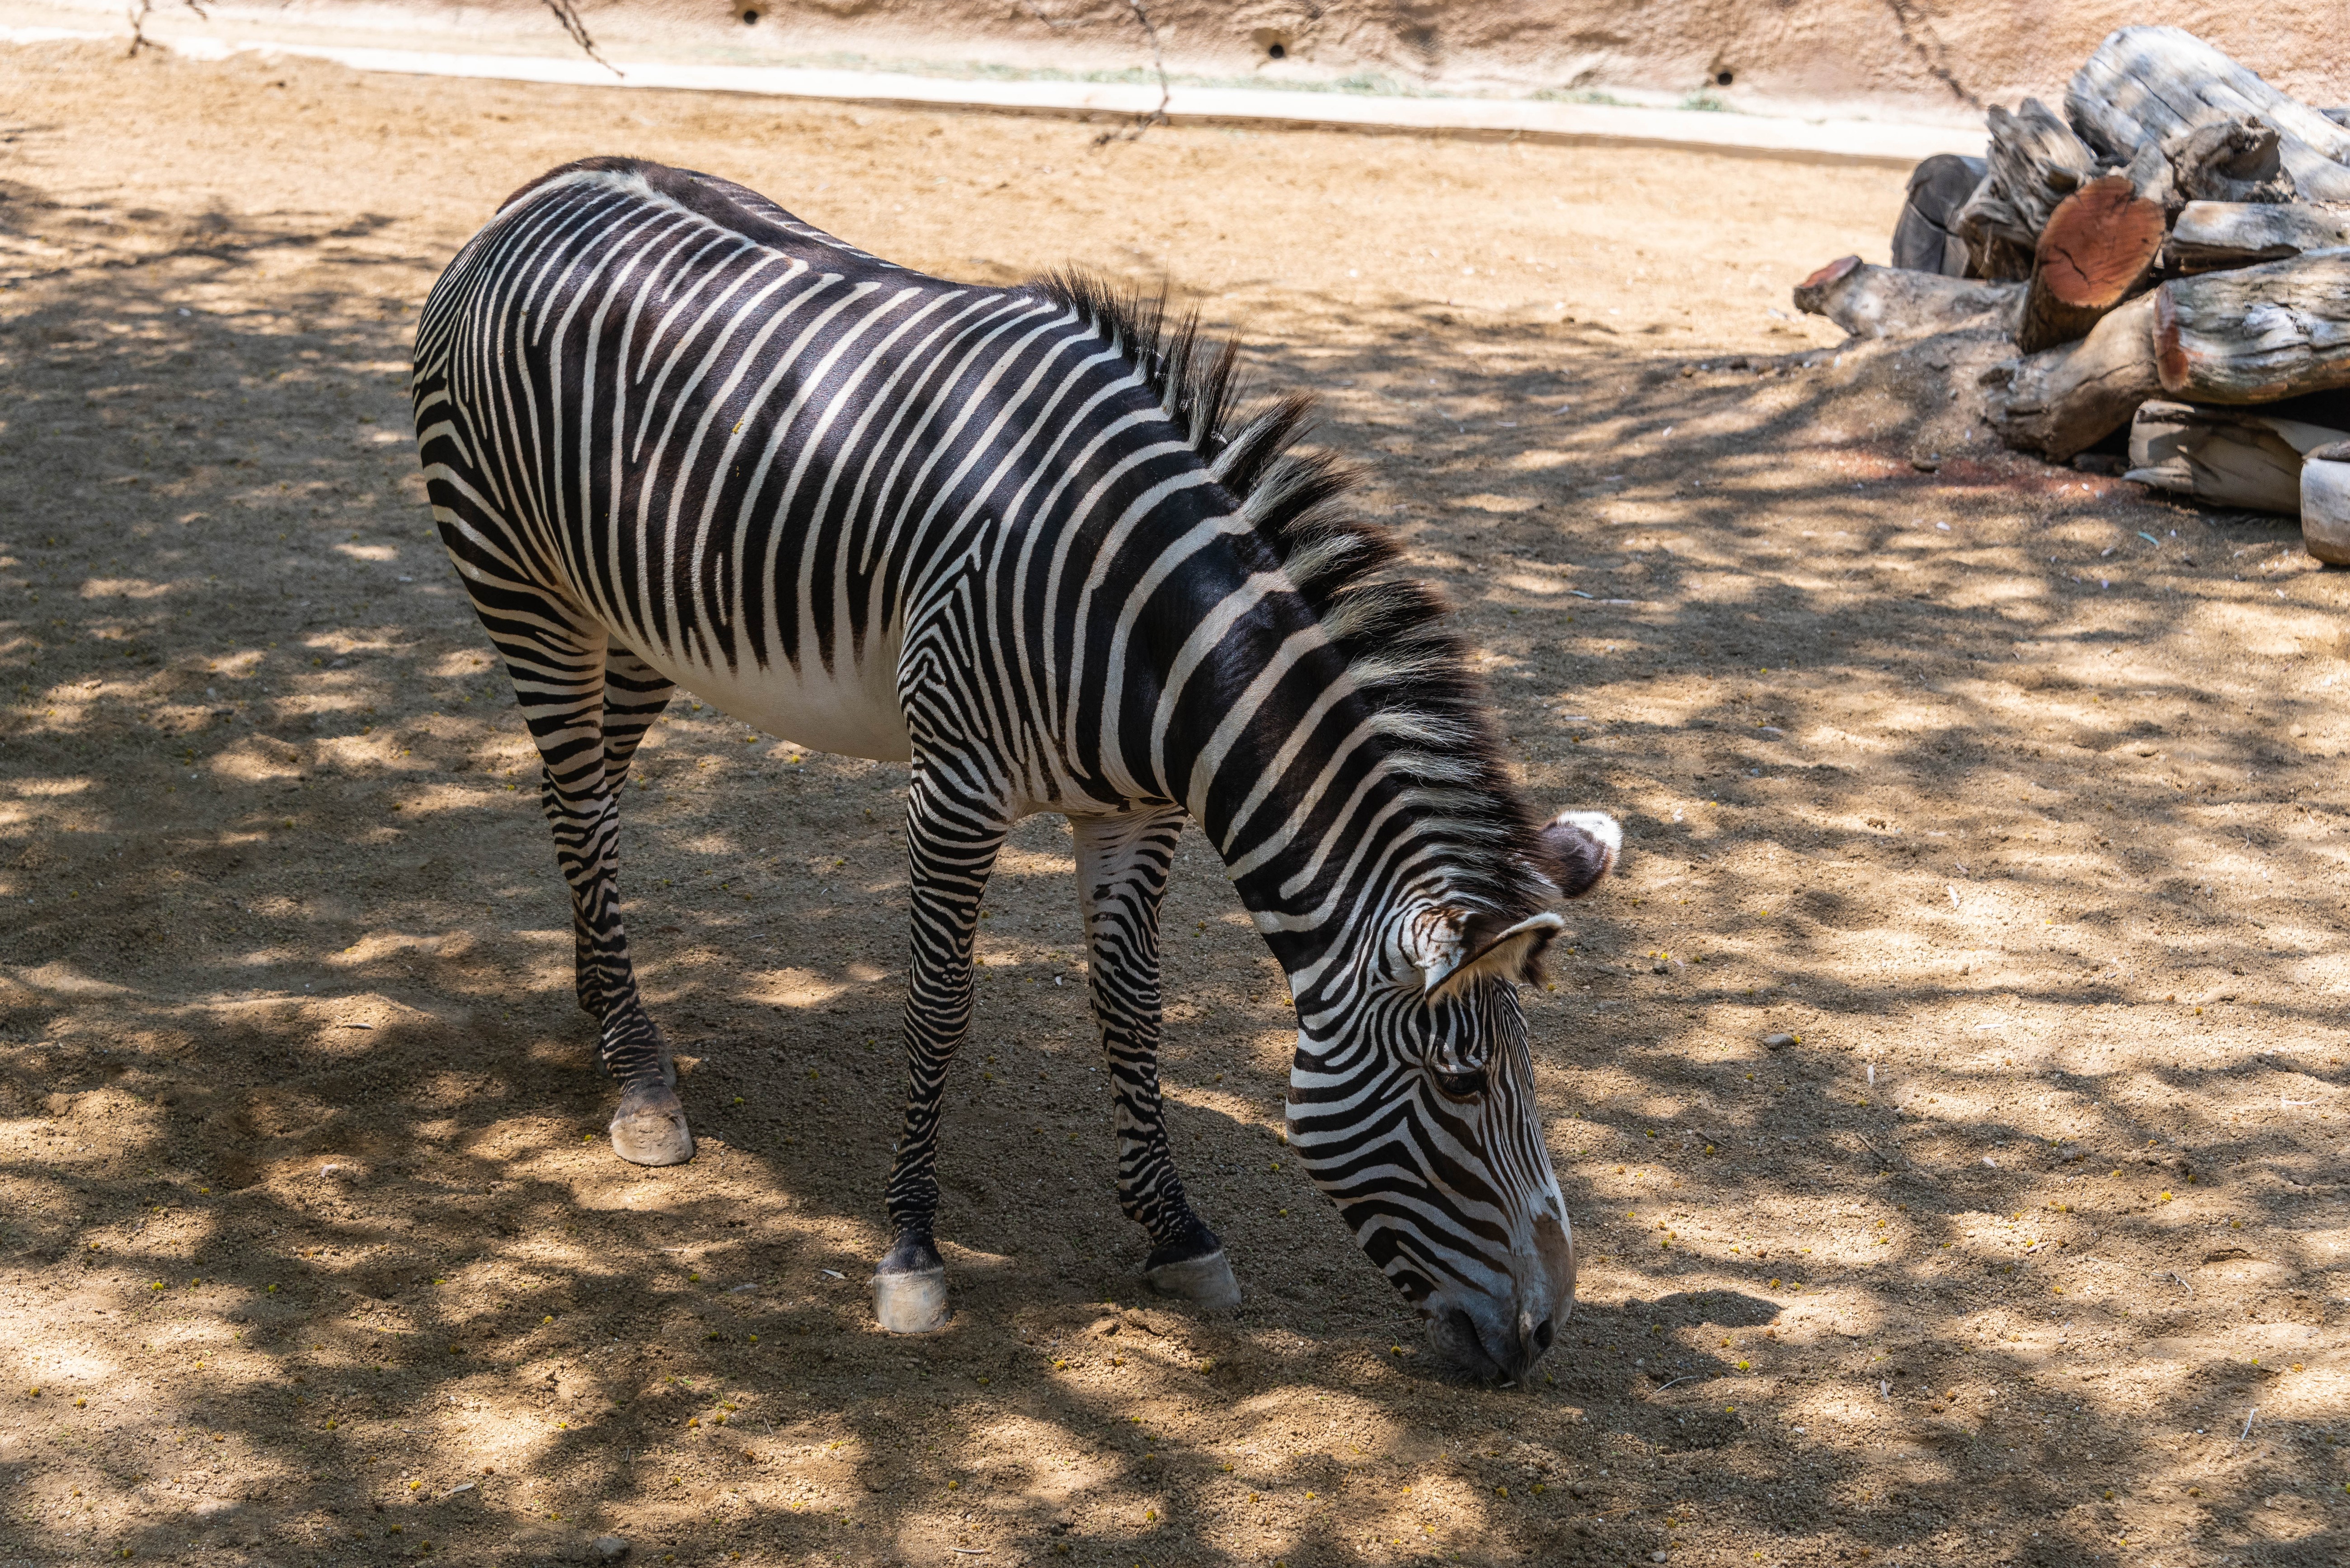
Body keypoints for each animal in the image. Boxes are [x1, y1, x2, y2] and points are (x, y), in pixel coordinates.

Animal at [410, 156, 1620, 1382]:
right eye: (1461, 1084)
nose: (1543, 1333)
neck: (1146, 633)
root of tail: (545, 186)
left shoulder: (1136, 812)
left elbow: (1132, 1007)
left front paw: (1175, 1230)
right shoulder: (953, 783)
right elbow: (939, 1003)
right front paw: (909, 1251)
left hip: (639, 618)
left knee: (583, 801)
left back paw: (602, 1006)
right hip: (525, 588)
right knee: (578, 803)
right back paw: (640, 1079)